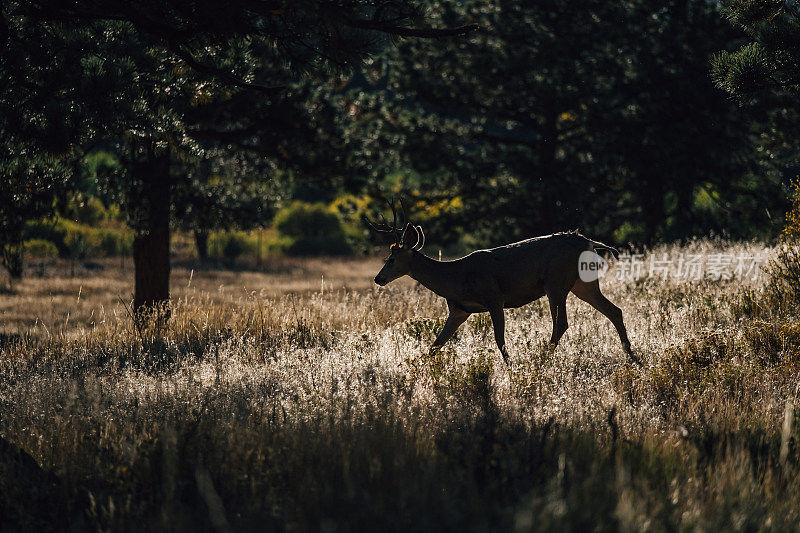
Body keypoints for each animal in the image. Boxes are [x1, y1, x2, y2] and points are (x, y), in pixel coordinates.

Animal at [364, 200, 636, 366]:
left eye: (391, 258)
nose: (378, 278)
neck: (456, 278)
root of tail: (589, 242)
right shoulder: (459, 310)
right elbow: (435, 344)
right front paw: (417, 369)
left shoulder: (494, 296)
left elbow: (499, 338)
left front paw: (511, 367)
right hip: (583, 284)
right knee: (615, 310)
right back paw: (632, 357)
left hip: (555, 282)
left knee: (561, 323)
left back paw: (542, 362)